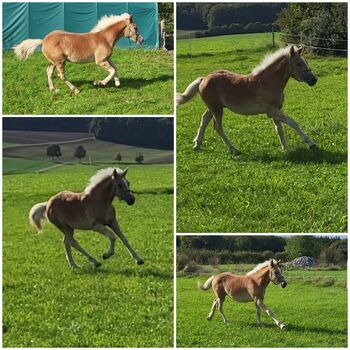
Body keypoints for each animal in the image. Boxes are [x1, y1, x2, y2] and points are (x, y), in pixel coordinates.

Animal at [13, 14, 143, 94]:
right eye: (136, 28)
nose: (141, 40)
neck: (105, 38)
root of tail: (43, 40)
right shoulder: (100, 61)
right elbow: (111, 70)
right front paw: (99, 83)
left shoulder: (107, 58)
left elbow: (115, 68)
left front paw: (117, 82)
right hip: (60, 62)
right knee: (61, 76)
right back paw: (75, 90)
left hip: (53, 62)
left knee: (49, 72)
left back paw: (53, 89)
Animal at [178, 44, 318, 153]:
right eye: (299, 63)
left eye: (306, 62)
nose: (313, 80)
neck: (268, 82)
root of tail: (203, 79)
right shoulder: (272, 111)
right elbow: (293, 122)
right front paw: (311, 144)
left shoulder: (275, 111)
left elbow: (279, 130)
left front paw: (285, 149)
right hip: (217, 109)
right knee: (217, 127)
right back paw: (234, 149)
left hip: (213, 107)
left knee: (204, 120)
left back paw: (197, 145)